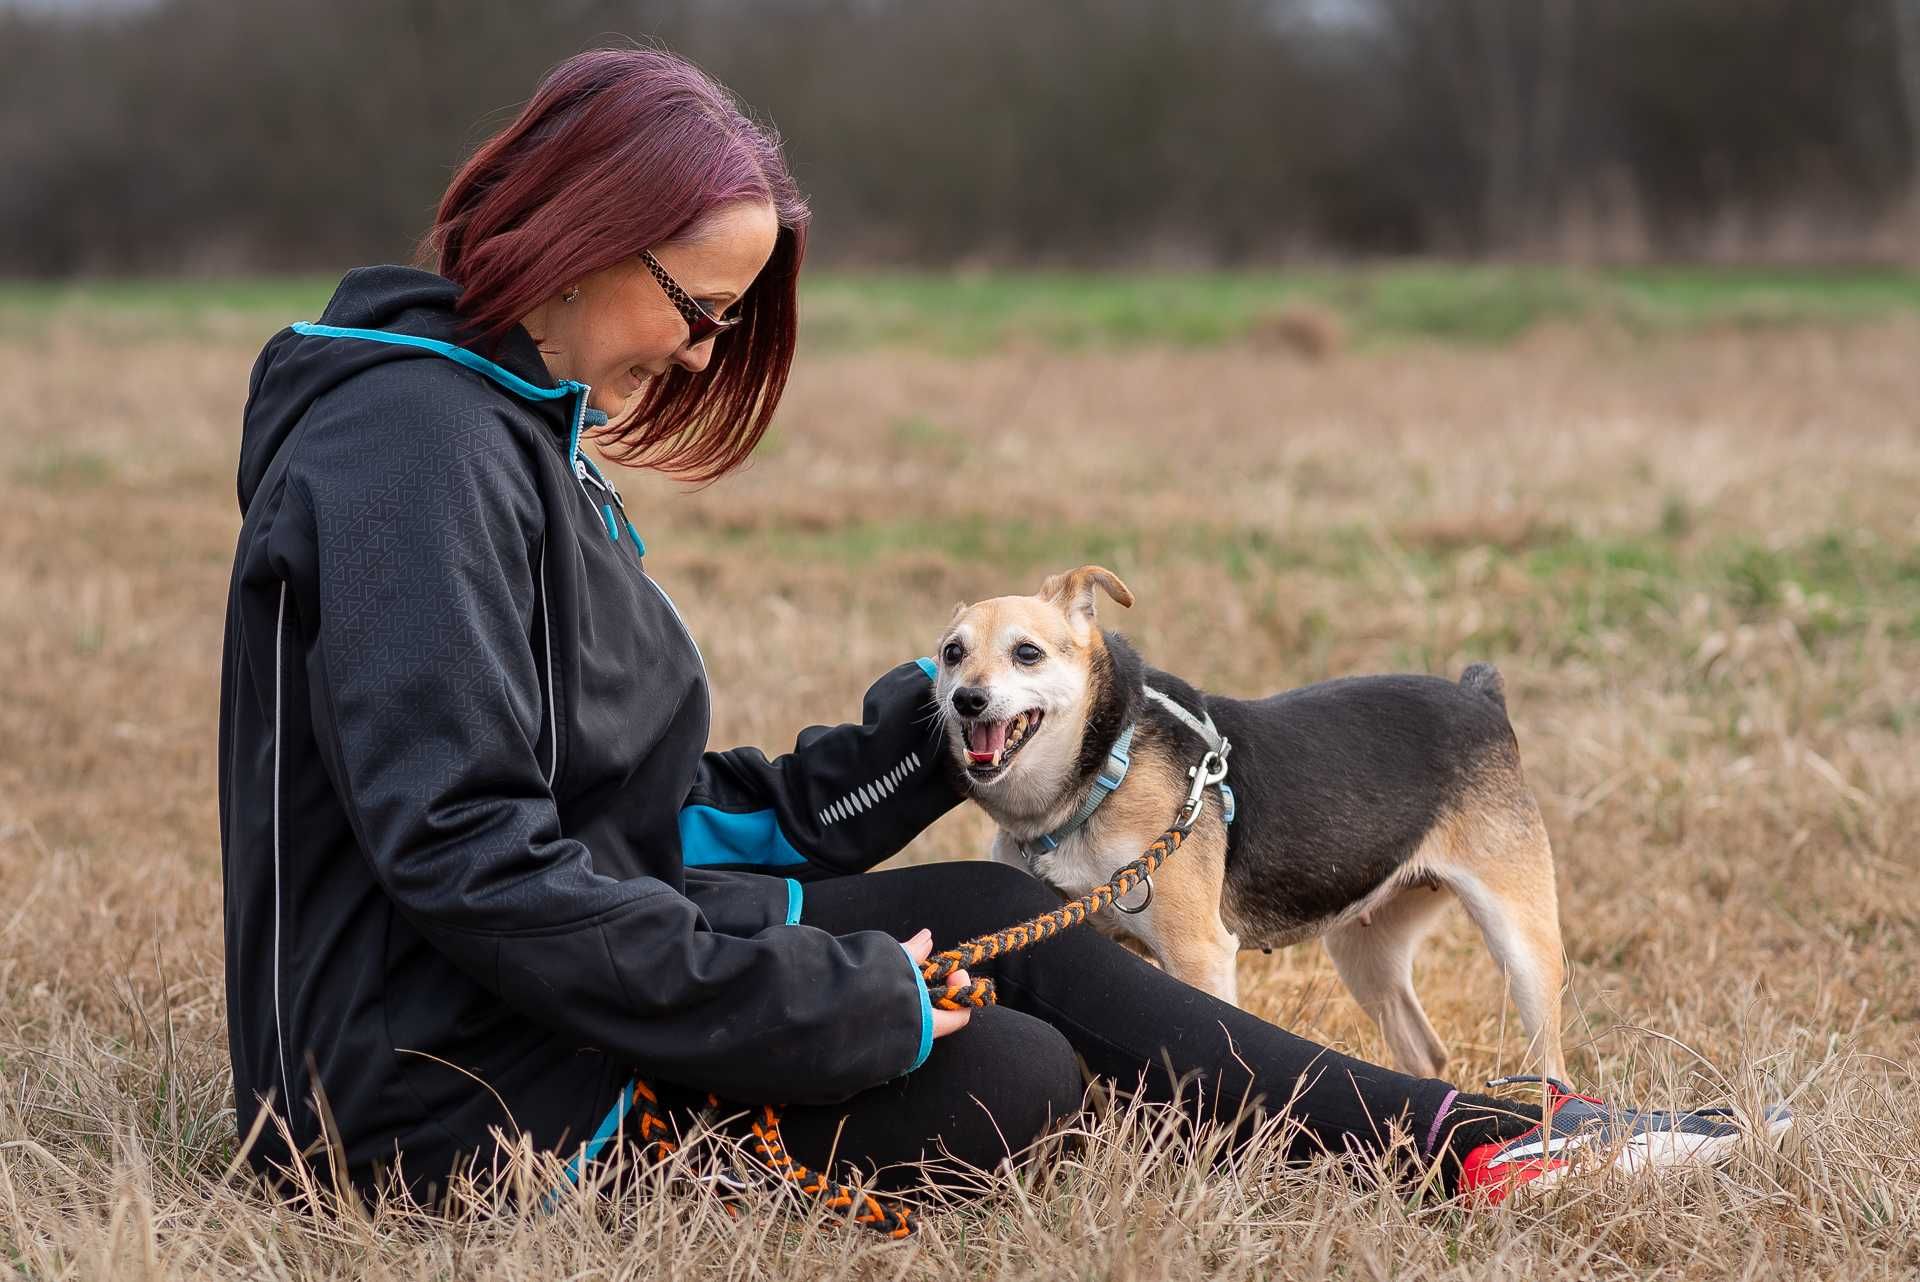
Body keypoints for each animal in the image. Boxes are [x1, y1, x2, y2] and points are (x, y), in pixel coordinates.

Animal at [936, 564, 1566, 1074]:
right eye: (951, 654)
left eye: (1027, 653)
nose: (967, 699)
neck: (1103, 769)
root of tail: (1480, 697)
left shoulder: (1199, 955)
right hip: (1367, 951)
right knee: (1425, 1052)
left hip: (1520, 946)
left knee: (1548, 1060)